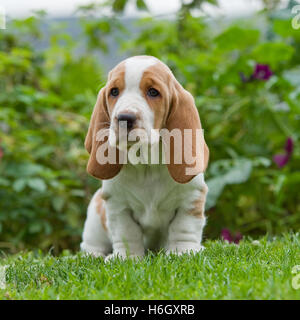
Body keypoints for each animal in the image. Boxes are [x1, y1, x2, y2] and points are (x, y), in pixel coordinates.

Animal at [81, 55, 210, 260]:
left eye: (153, 92)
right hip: (95, 213)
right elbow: (127, 233)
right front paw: (126, 258)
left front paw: (183, 252)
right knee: (91, 245)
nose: (124, 118)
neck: (146, 163)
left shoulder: (191, 198)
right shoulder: (118, 205)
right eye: (114, 92)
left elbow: (183, 228)